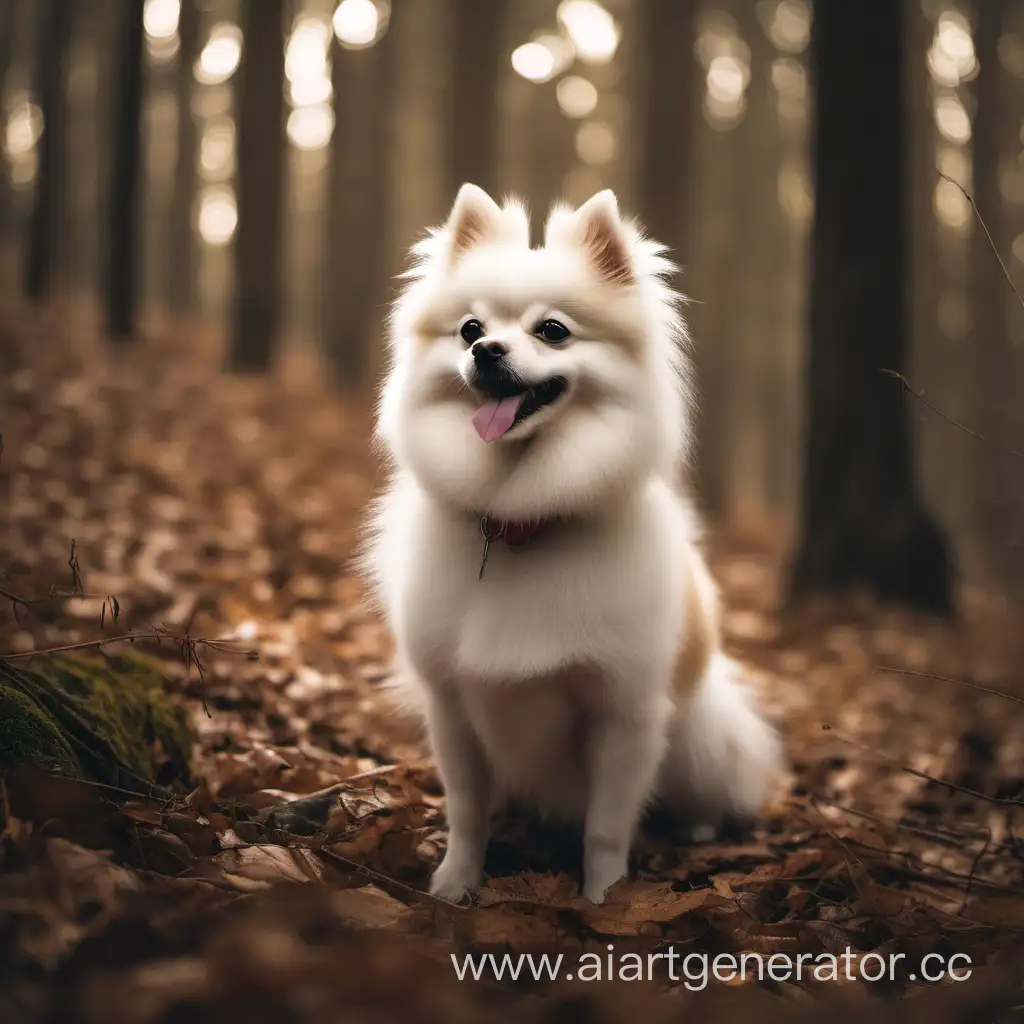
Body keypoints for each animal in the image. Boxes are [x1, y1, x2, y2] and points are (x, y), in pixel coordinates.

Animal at [362, 184, 782, 905]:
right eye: (469, 329)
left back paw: (697, 828)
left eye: (552, 330)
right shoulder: (452, 707)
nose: (487, 350)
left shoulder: (624, 715)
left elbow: (606, 830)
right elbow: (467, 811)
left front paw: (603, 901)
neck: (520, 518)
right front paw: (453, 885)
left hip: (699, 735)